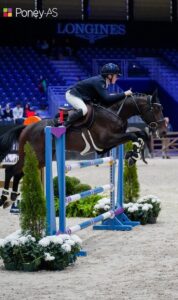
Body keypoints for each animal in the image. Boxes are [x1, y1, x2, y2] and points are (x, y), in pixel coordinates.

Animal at [0, 91, 166, 209]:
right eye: (156, 108)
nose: (163, 131)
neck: (115, 113)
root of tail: (26, 127)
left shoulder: (108, 144)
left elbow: (140, 134)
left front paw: (133, 155)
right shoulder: (107, 140)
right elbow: (134, 135)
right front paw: (133, 155)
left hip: (39, 159)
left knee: (18, 173)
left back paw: (12, 197)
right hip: (35, 155)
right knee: (11, 171)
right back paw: (5, 198)